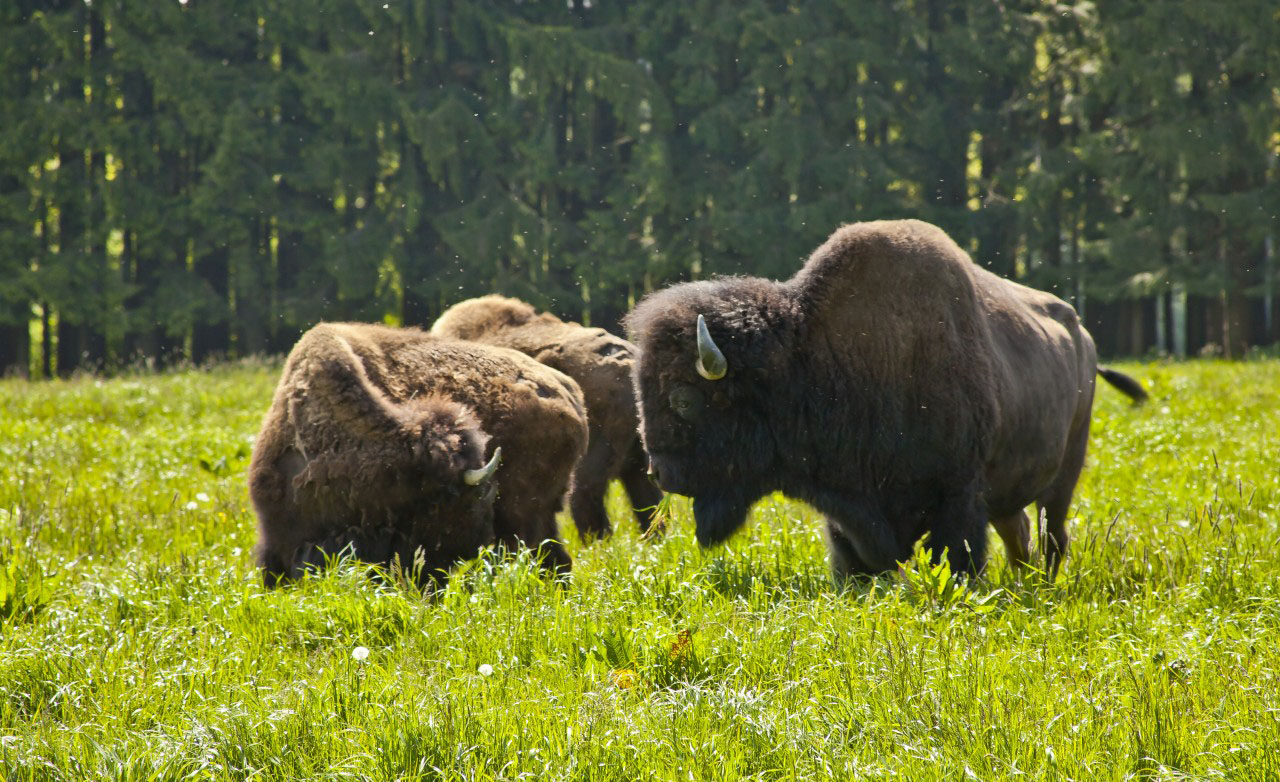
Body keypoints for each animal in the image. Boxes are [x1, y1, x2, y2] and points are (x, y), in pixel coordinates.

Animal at [629, 218, 1152, 581]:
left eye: (683, 399)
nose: (658, 473)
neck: (810, 355)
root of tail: (1083, 337)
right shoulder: (846, 512)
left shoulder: (958, 496)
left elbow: (958, 560)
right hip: (1011, 490)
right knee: (1018, 533)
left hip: (1063, 476)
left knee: (1052, 536)